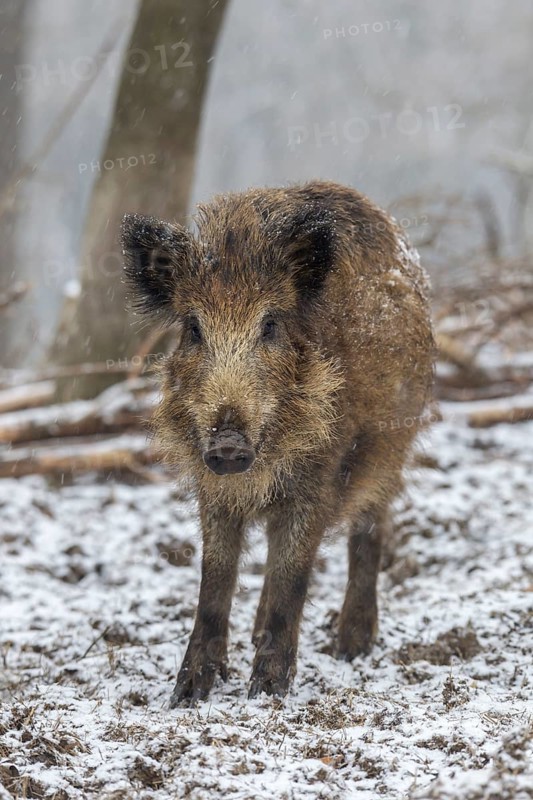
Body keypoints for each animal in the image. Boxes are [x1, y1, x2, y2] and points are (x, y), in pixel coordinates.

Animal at [121, 180, 435, 705]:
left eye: (269, 325)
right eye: (193, 328)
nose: (228, 441)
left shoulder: (318, 478)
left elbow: (294, 576)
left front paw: (267, 692)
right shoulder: (213, 488)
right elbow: (215, 580)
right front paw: (186, 694)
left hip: (391, 449)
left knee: (369, 530)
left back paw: (351, 645)